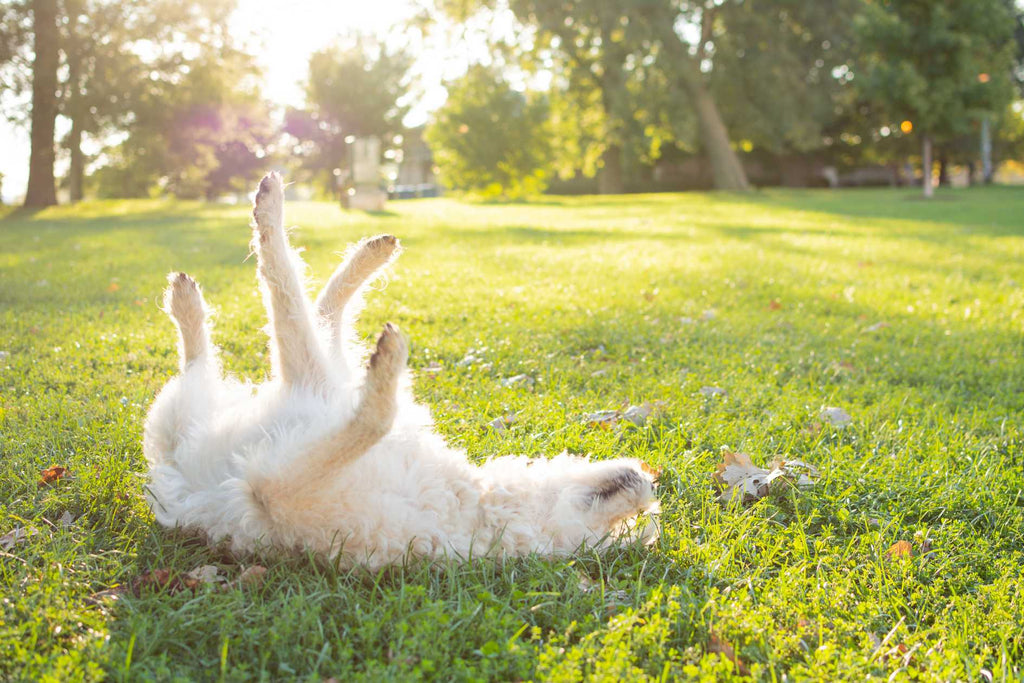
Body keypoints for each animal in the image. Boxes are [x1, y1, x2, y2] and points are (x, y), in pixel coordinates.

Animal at [142, 174, 655, 569]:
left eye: (622, 530)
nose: (650, 485)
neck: (479, 504)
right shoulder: (312, 415)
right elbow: (312, 315)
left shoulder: (272, 486)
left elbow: (370, 415)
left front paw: (387, 370)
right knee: (309, 308)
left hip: (195, 406)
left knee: (263, 323)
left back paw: (198, 293)